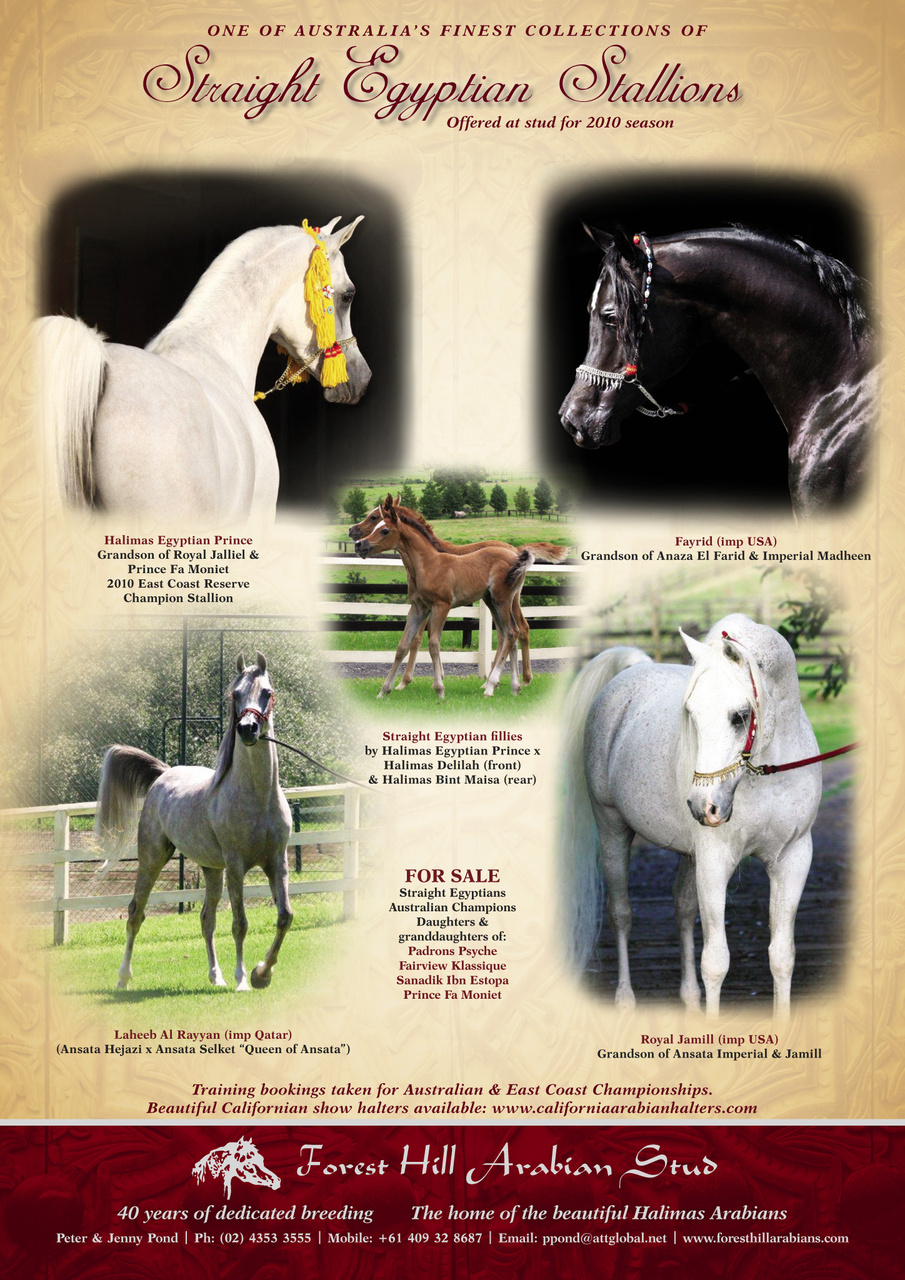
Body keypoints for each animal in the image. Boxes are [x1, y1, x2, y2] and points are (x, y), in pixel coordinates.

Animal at [95, 652, 292, 992]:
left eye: (267, 692)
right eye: (235, 694)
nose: (248, 729)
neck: (257, 796)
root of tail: (164, 774)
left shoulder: (276, 863)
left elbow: (284, 917)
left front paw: (261, 973)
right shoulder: (236, 866)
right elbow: (240, 924)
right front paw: (244, 979)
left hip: (211, 870)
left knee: (206, 919)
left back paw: (217, 976)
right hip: (152, 860)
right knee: (135, 914)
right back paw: (123, 978)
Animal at [354, 495, 569, 698]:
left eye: (382, 528)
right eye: (376, 524)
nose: (358, 543)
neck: (429, 564)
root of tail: (517, 553)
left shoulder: (442, 606)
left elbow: (432, 644)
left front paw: (438, 688)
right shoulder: (418, 608)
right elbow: (403, 646)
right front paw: (384, 690)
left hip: (503, 599)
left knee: (512, 633)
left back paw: (492, 686)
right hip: (492, 601)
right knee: (510, 634)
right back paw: (514, 687)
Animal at [561, 616, 823, 1019]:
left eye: (739, 716)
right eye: (693, 714)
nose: (704, 807)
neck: (770, 772)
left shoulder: (792, 858)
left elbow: (781, 956)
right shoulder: (716, 861)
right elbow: (715, 962)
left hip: (689, 855)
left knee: (682, 910)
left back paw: (689, 997)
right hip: (612, 830)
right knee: (621, 913)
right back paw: (625, 998)